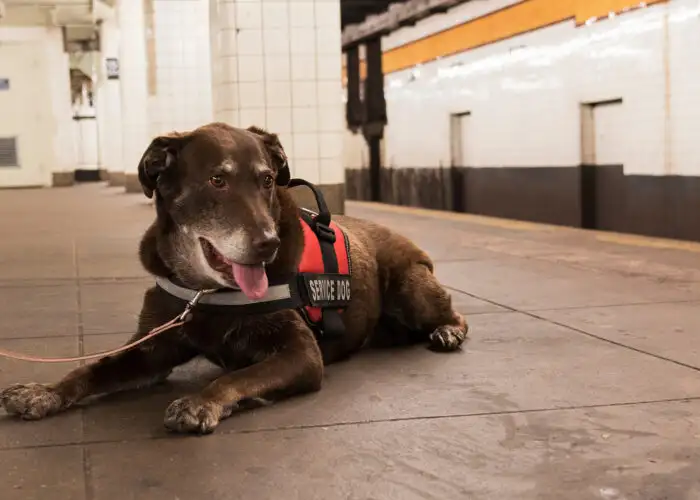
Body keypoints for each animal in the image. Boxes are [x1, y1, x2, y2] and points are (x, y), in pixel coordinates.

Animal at [1, 122, 470, 434]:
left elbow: (234, 377)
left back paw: (448, 332)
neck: (205, 291)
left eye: (267, 179)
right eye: (217, 180)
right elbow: (92, 369)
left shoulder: (301, 354)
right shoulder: (152, 348)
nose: (268, 244)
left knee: (455, 314)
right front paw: (43, 391)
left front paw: (202, 402)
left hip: (413, 289)